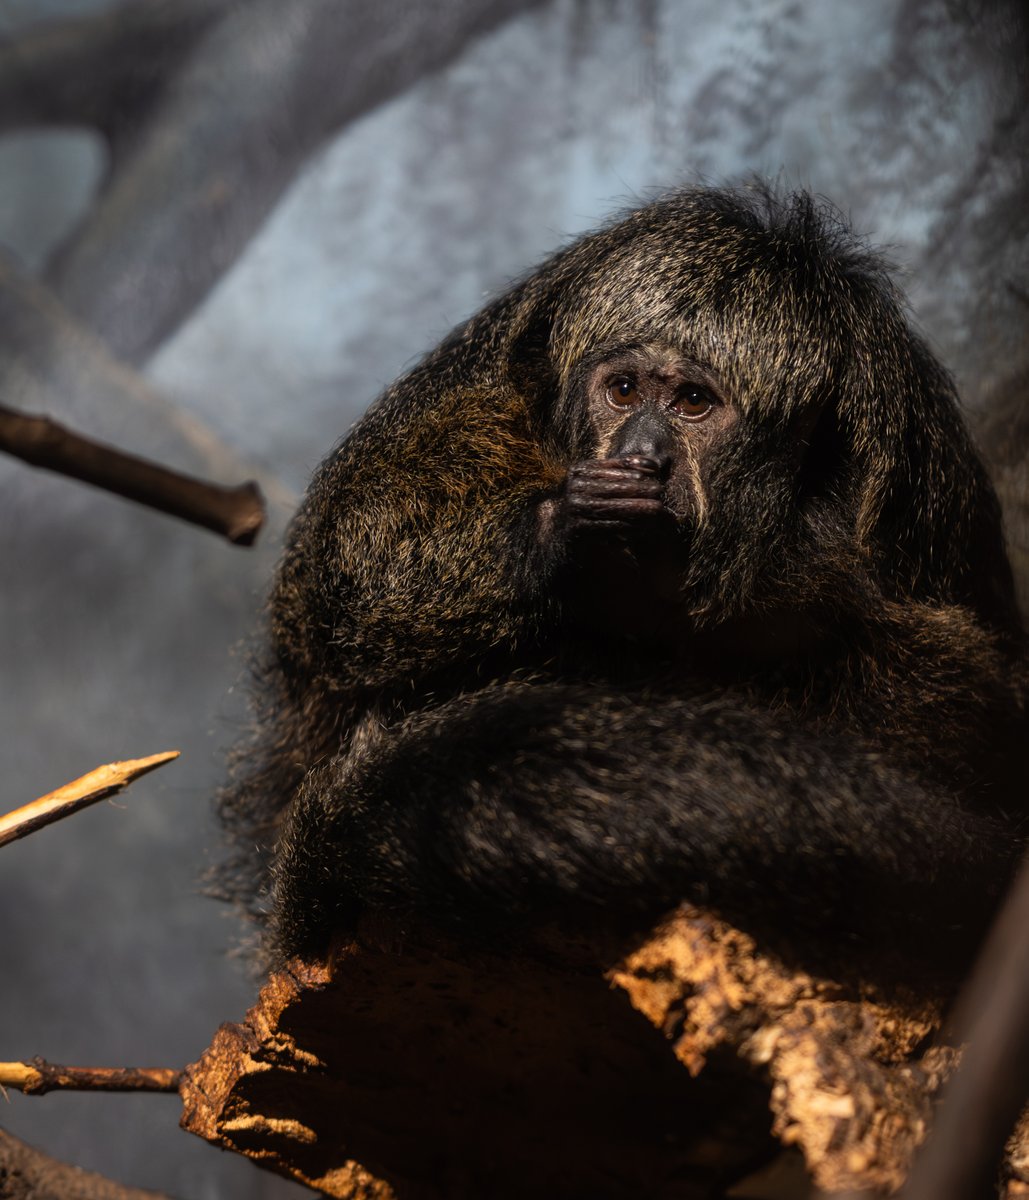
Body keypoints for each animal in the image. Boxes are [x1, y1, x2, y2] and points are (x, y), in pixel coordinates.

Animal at [219, 185, 1028, 972]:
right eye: (625, 390)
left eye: (692, 403)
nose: (642, 453)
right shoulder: (487, 384)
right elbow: (350, 560)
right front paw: (561, 541)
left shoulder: (916, 471)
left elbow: (955, 697)